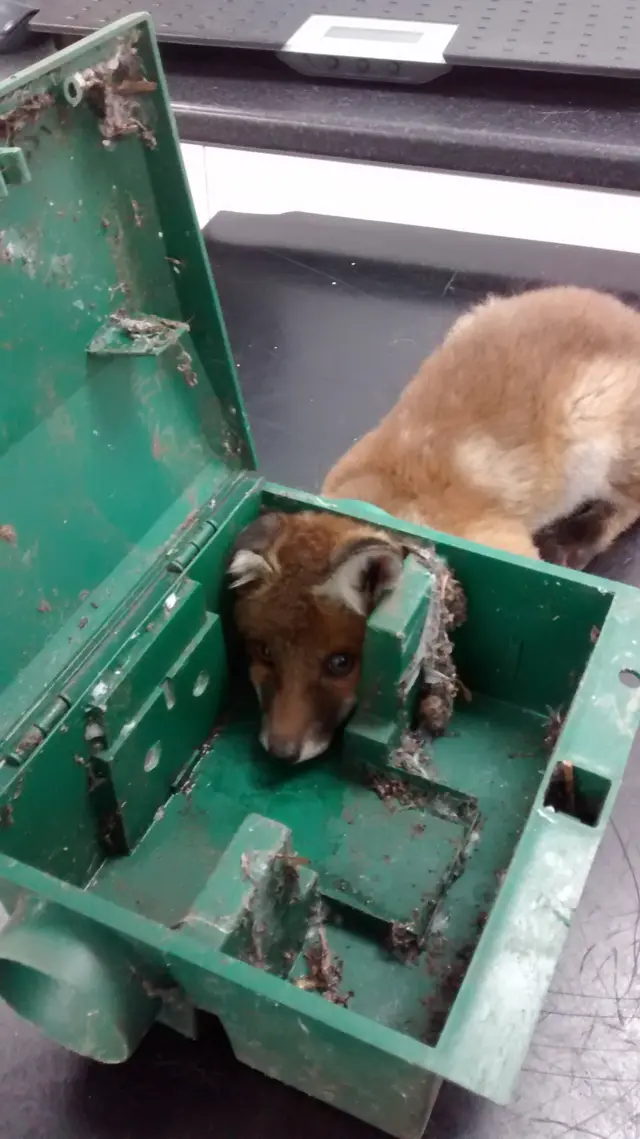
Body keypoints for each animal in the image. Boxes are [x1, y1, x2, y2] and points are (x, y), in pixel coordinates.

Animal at [227, 287, 640, 765]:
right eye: (263, 652)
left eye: (340, 663)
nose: (281, 752)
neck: (384, 502)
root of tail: (620, 310)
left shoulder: (510, 542)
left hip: (596, 439)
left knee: (631, 503)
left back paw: (579, 539)